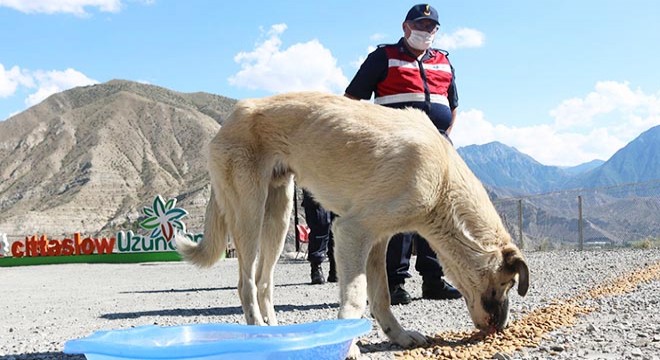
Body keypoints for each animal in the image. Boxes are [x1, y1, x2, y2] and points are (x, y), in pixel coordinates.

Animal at [174, 92, 524, 358]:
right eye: (508, 283)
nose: (502, 327)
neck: (443, 182)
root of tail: (232, 116)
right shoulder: (351, 234)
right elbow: (356, 298)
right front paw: (349, 344)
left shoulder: (377, 241)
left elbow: (381, 296)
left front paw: (398, 336)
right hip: (250, 213)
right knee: (245, 283)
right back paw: (257, 331)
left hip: (279, 213)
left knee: (263, 282)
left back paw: (273, 332)